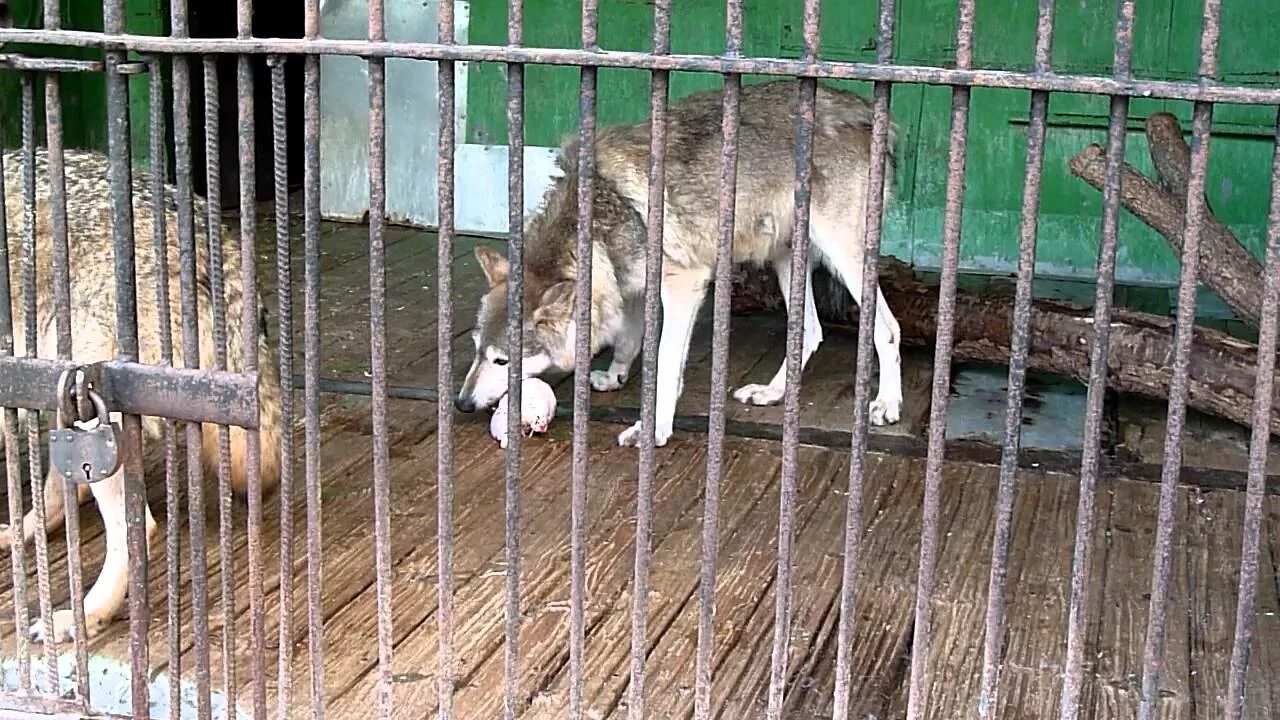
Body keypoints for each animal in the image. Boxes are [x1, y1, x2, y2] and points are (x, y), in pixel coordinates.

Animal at [455, 79, 906, 448]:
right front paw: (615, 376)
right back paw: (771, 393)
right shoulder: (627, 285)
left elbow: (666, 363)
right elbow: (628, 339)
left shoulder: (684, 284)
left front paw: (653, 428)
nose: (461, 403)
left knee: (887, 329)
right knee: (810, 332)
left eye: (503, 361)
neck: (601, 217)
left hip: (844, 258)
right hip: (784, 261)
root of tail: (871, 115)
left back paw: (886, 403)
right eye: (476, 350)